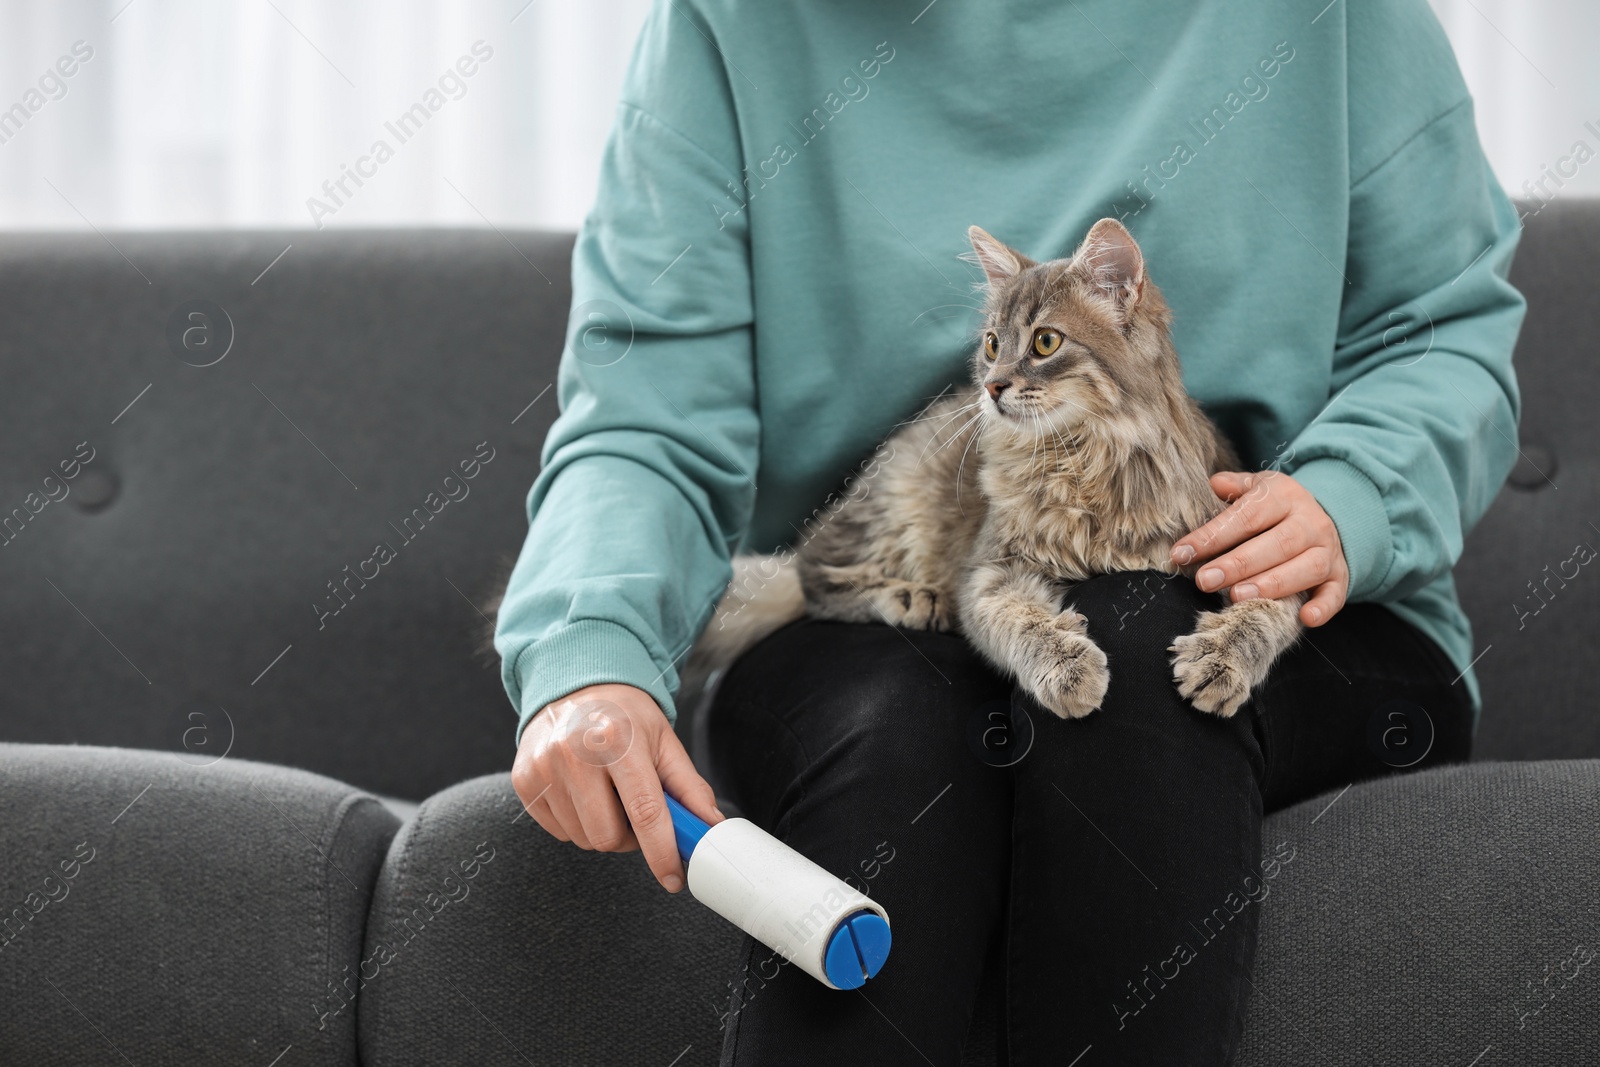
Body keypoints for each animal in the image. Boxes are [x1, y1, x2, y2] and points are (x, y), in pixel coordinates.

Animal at [694, 223, 1305, 726]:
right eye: (992, 344)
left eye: (1045, 342)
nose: (991, 387)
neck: (1081, 460)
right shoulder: (991, 570)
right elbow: (1022, 620)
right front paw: (1069, 671)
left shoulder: (1238, 546)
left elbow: (1268, 611)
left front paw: (1220, 661)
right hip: (895, 507)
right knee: (814, 575)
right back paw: (913, 599)